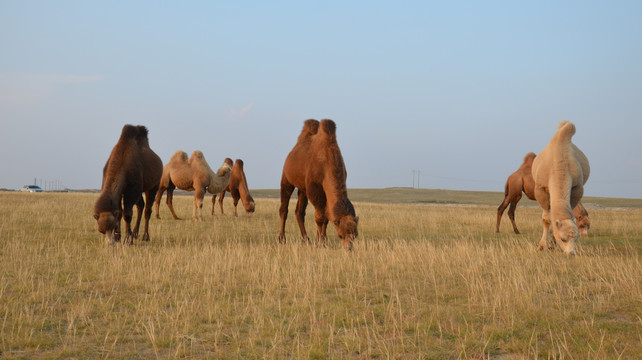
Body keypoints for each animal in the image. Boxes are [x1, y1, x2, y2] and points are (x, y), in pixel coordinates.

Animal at [278, 118, 358, 250]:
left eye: (355, 235)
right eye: (340, 235)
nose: (349, 248)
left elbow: (326, 217)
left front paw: (322, 241)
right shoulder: (314, 188)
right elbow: (320, 217)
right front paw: (319, 243)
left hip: (303, 189)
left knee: (299, 212)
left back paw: (306, 239)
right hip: (286, 179)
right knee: (284, 209)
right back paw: (281, 239)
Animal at [528, 121, 588, 256]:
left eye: (576, 238)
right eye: (563, 238)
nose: (571, 253)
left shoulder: (577, 189)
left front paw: (552, 244)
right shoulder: (540, 189)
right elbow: (546, 219)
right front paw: (542, 246)